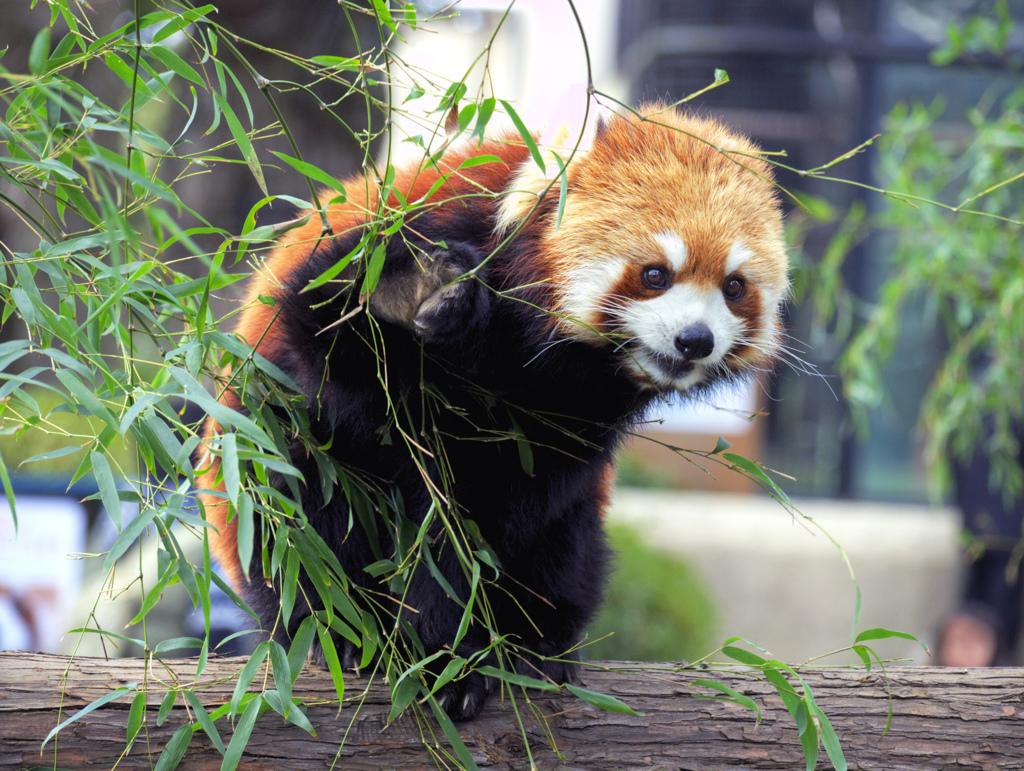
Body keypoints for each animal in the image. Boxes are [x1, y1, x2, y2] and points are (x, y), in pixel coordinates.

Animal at [201, 105, 790, 720]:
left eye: (734, 286)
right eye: (656, 274)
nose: (695, 340)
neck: (528, 351)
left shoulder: (563, 418)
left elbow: (505, 508)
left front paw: (469, 642)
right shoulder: (413, 239)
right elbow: (325, 334)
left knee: (566, 544)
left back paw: (539, 642)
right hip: (263, 481)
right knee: (301, 511)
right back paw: (341, 631)